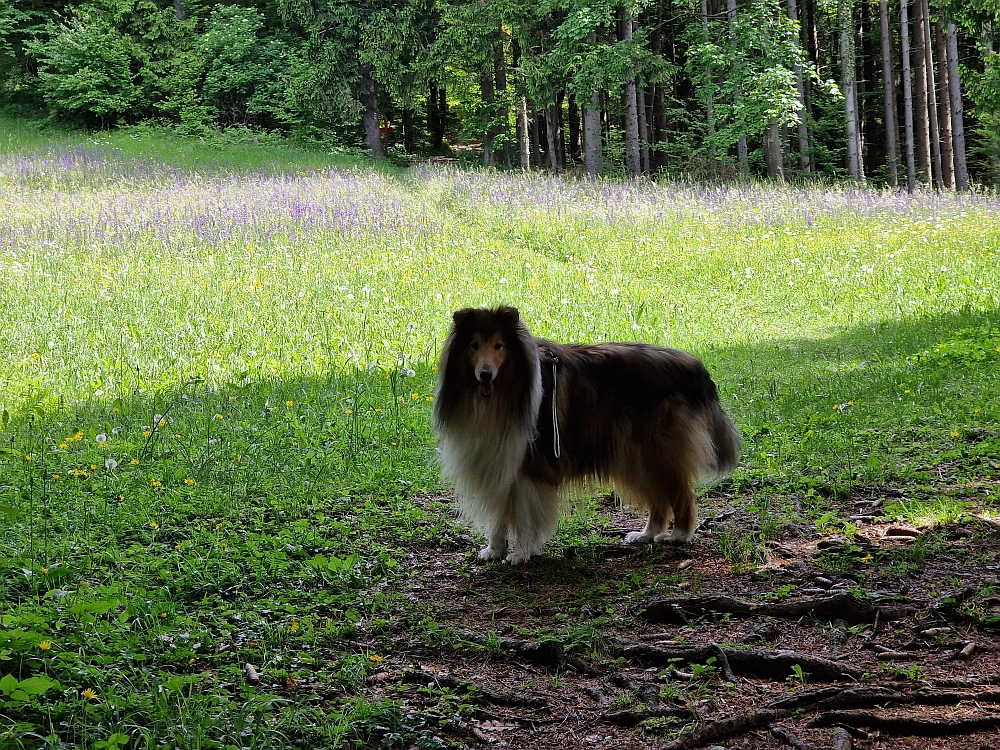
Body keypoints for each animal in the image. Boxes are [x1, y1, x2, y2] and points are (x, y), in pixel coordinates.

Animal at [434, 306, 740, 564]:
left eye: (499, 346)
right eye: (474, 345)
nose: (485, 374)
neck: (502, 393)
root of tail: (695, 366)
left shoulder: (528, 467)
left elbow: (523, 516)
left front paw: (521, 553)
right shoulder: (498, 461)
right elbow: (499, 515)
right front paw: (494, 550)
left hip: (658, 451)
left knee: (683, 494)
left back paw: (678, 536)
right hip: (635, 454)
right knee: (659, 497)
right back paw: (647, 534)